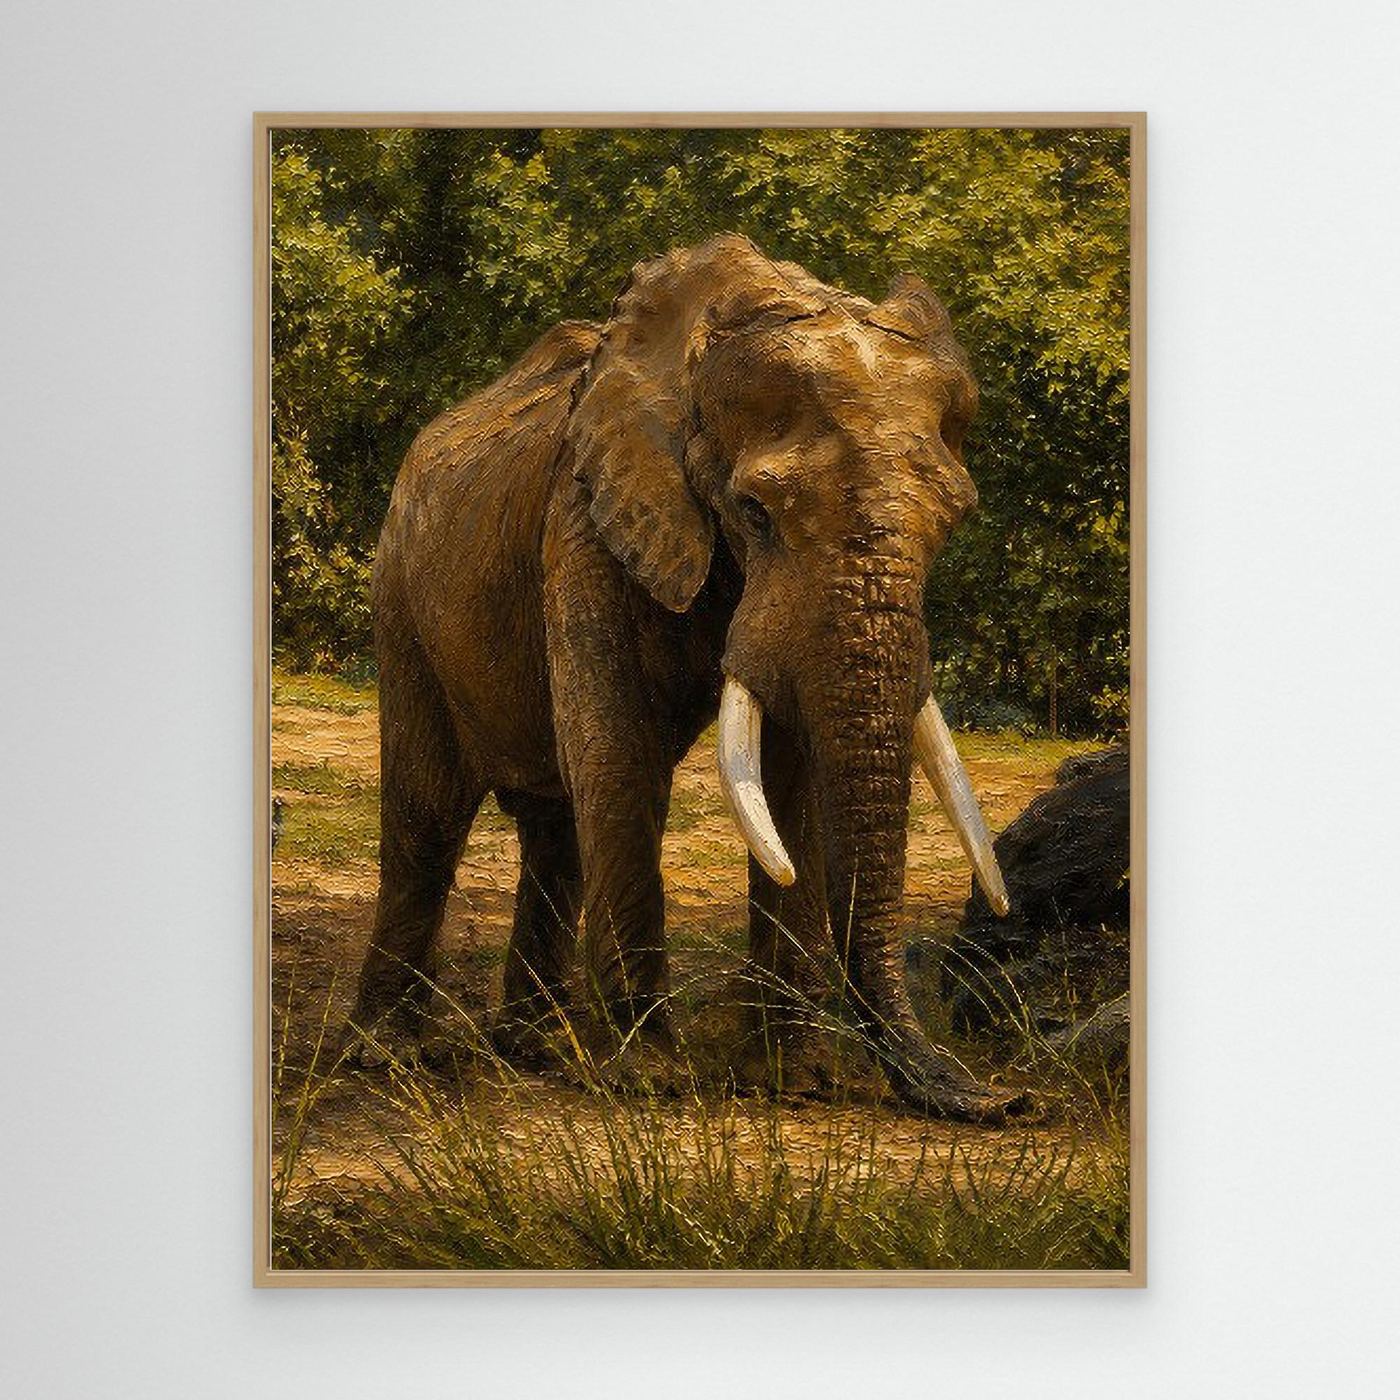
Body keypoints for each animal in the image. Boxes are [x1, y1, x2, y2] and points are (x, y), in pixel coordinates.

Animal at [348, 233, 1022, 1121]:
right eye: (756, 512)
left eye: (952, 524)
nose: (1001, 1100)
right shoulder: (590, 514)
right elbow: (622, 754)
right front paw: (649, 1080)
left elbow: (792, 774)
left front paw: (797, 1081)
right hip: (402, 594)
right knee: (429, 811)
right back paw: (389, 1059)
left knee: (554, 828)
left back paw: (533, 1050)